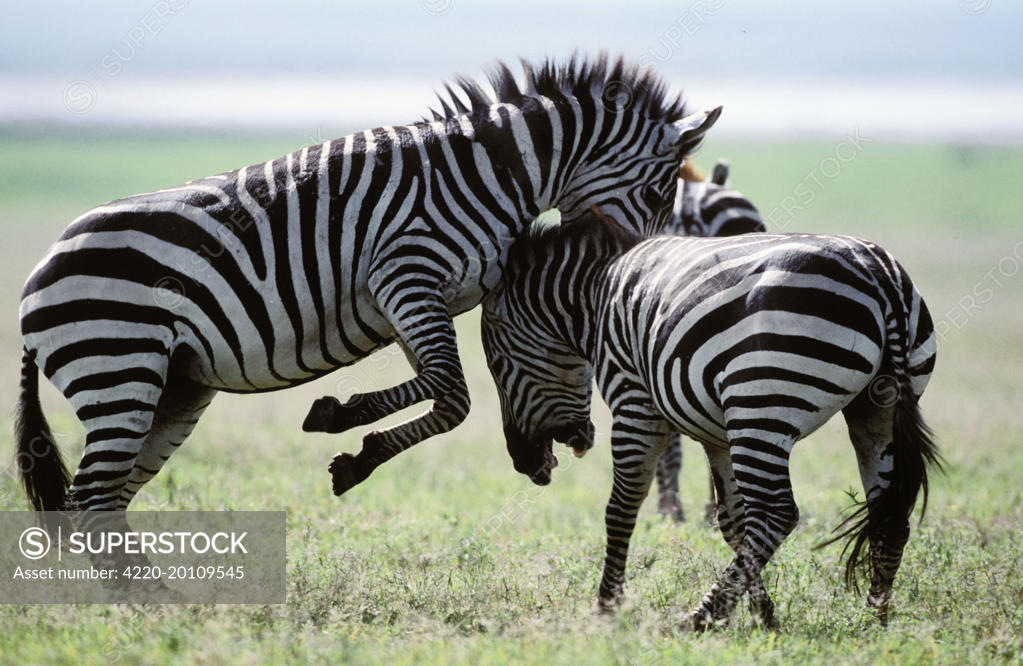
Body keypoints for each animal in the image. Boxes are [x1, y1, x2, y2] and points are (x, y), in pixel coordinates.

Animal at [14, 56, 720, 515]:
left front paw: (350, 438)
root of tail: (38, 273)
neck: (489, 176)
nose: (638, 268)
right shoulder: (406, 274)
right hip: (118, 366)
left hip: (173, 386)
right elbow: (452, 392)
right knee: (91, 498)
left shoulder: (413, 299)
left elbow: (442, 392)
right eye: (658, 193)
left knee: (107, 499)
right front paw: (345, 427)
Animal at [482, 212, 937, 630]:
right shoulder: (715, 433)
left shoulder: (635, 403)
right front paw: (761, 612)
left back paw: (697, 617)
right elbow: (734, 523)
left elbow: (621, 507)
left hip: (761, 406)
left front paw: (607, 606)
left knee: (778, 513)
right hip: (875, 411)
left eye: (497, 367)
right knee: (888, 514)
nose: (522, 462)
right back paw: (874, 620)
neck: (595, 298)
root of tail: (878, 273)